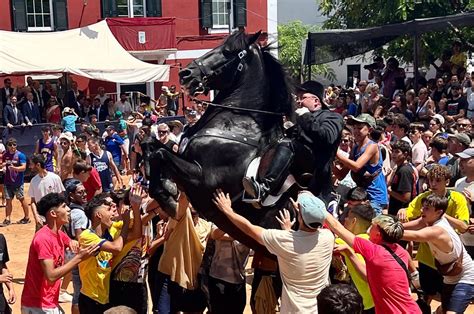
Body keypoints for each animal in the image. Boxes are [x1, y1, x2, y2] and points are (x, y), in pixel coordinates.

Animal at [143, 30, 300, 249]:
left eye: (227, 51)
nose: (186, 73)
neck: (236, 123)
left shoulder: (203, 177)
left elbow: (160, 154)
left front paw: (168, 199)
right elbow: (150, 145)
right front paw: (161, 182)